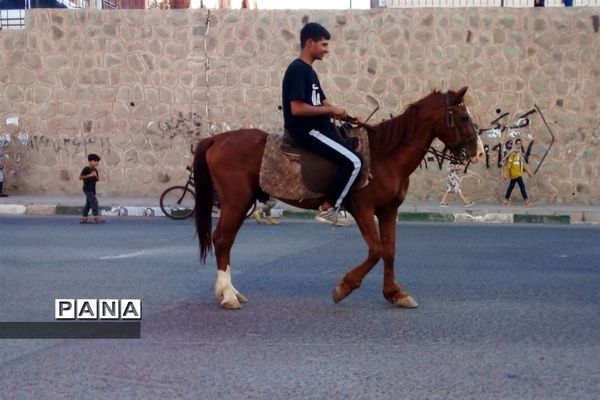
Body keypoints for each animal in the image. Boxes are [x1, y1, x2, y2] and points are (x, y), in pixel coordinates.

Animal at [195, 87, 486, 310]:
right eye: (462, 116)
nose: (479, 152)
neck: (385, 155)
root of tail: (216, 139)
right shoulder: (363, 209)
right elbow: (377, 250)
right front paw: (345, 287)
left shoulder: (388, 210)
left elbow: (389, 251)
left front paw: (395, 294)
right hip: (236, 202)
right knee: (222, 240)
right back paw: (228, 295)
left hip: (241, 203)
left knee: (225, 242)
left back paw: (231, 291)